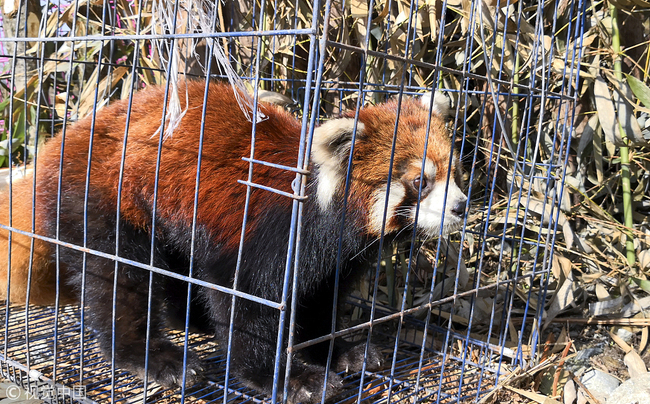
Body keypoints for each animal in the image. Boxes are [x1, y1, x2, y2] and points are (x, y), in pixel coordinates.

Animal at [0, 80, 466, 402]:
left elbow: (320, 299)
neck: (320, 208)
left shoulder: (338, 257)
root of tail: (57, 145)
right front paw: (287, 378)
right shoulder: (268, 235)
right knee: (122, 280)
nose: (461, 206)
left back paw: (195, 319)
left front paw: (338, 351)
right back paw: (153, 356)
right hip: (103, 202)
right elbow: (245, 301)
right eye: (420, 181)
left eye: (456, 172)